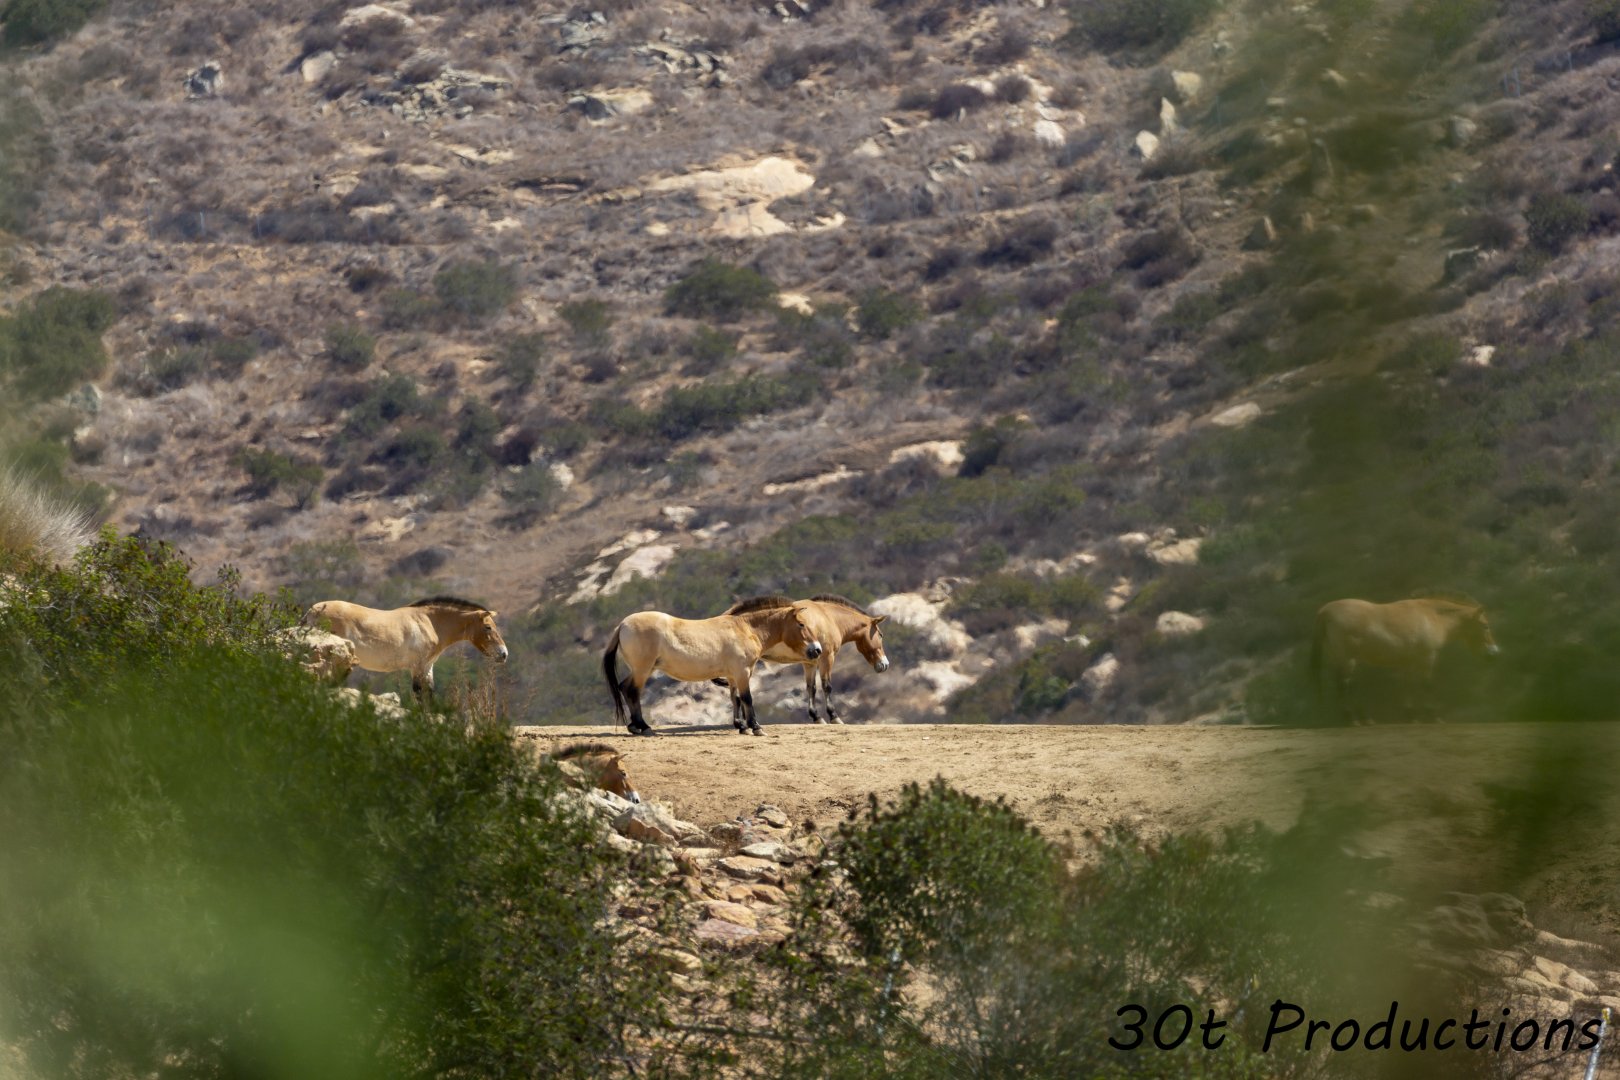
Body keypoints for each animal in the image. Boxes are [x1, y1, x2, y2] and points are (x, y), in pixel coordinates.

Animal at [301, 596, 509, 702]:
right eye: (488, 627)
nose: (504, 654)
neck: (430, 622)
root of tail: (313, 611)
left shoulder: (427, 667)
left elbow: (429, 693)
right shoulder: (417, 667)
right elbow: (419, 694)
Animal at [603, 602, 823, 736]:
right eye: (801, 624)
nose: (817, 649)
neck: (744, 628)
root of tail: (623, 624)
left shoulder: (733, 676)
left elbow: (735, 699)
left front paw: (741, 726)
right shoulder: (743, 673)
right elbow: (747, 699)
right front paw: (756, 728)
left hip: (642, 670)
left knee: (625, 688)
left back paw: (636, 726)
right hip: (643, 669)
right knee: (632, 691)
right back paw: (643, 727)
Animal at [714, 594, 889, 725]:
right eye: (880, 635)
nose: (884, 664)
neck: (829, 617)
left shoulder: (809, 663)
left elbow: (811, 688)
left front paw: (816, 717)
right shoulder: (827, 658)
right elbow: (827, 686)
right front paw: (834, 717)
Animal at [1311, 596, 1499, 723]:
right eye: (1485, 626)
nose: (1493, 653)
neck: (1432, 616)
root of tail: (1326, 611)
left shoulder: (1409, 662)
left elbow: (1408, 684)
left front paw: (1411, 716)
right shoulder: (1428, 658)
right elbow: (1427, 684)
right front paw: (1433, 716)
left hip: (1344, 659)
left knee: (1348, 685)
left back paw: (1363, 719)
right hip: (1348, 659)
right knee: (1344, 686)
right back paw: (1353, 720)